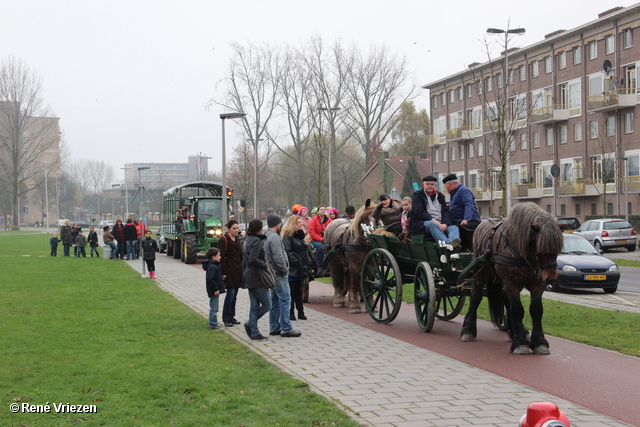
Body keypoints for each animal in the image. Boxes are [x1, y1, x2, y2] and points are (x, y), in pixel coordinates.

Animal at [460, 202, 564, 356]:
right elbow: (518, 310)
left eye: (558, 249)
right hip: (481, 274)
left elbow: (536, 310)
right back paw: (468, 331)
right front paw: (521, 343)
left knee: (507, 303)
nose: (550, 278)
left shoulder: (537, 285)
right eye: (540, 247)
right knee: (475, 298)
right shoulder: (512, 284)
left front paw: (539, 342)